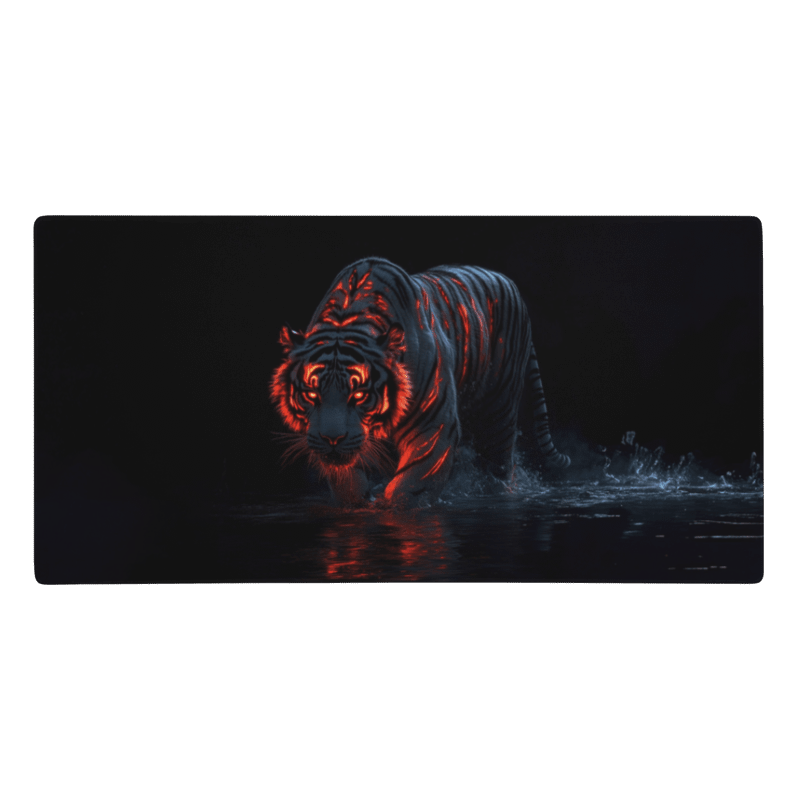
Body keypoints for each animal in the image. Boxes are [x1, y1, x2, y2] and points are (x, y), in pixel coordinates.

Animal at [271, 257, 570, 506]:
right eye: (311, 394)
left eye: (359, 395)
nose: (332, 439)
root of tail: (509, 282)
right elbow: (347, 481)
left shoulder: (434, 424)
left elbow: (412, 485)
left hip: (499, 411)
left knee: (499, 464)